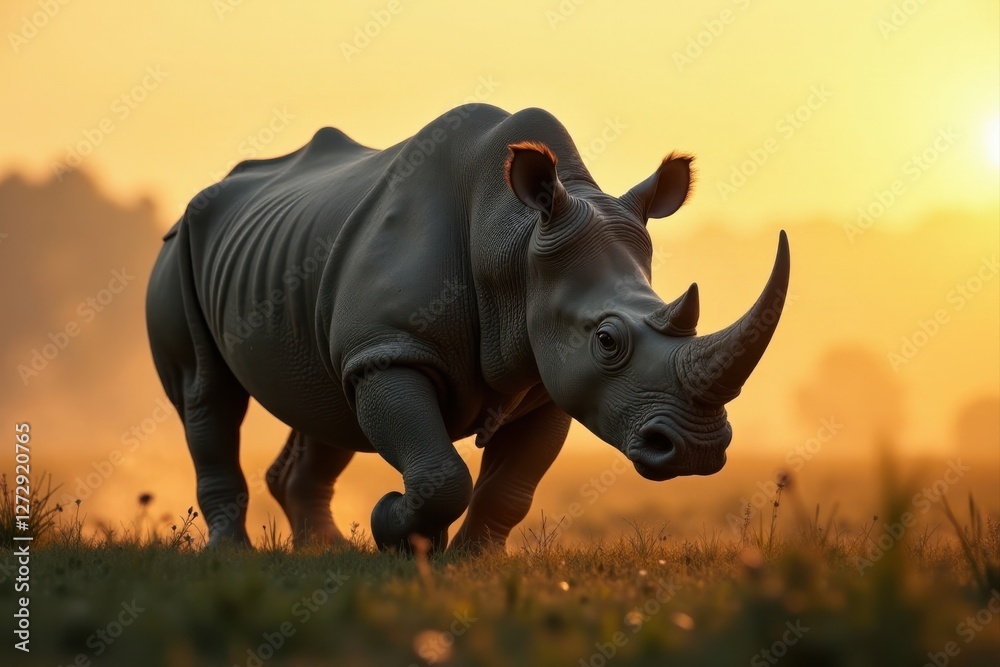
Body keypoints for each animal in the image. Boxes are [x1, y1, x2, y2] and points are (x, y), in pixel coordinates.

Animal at [146, 104, 789, 553]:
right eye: (607, 341)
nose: (698, 450)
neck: (514, 243)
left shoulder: (549, 378)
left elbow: (511, 488)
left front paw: (470, 566)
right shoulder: (392, 348)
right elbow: (439, 476)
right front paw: (394, 529)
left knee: (324, 401)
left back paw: (321, 552)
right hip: (178, 249)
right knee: (208, 393)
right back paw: (234, 556)